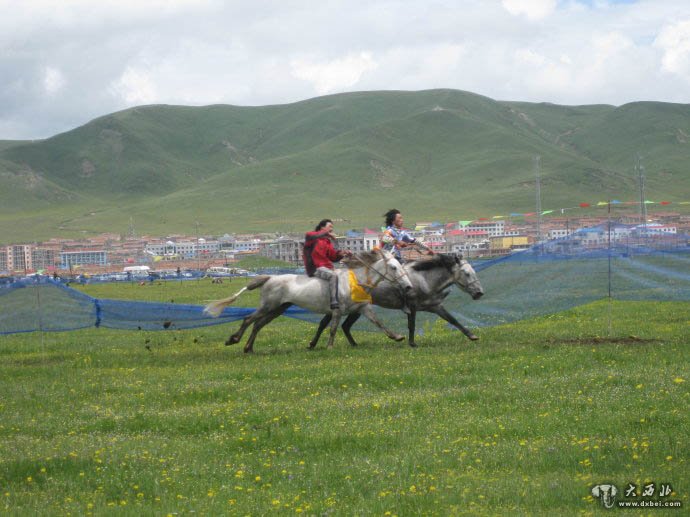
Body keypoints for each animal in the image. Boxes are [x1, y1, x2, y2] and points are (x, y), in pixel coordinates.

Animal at [202, 249, 412, 352]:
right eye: (393, 267)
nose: (408, 286)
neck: (355, 281)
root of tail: (269, 278)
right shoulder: (337, 310)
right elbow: (333, 328)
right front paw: (329, 347)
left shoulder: (363, 308)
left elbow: (379, 322)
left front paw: (397, 337)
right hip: (268, 306)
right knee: (248, 319)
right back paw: (234, 340)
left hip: (278, 309)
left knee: (258, 324)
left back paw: (248, 348)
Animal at [310, 253, 482, 346]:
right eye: (467, 273)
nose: (479, 293)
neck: (424, 279)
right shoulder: (412, 306)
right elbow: (412, 325)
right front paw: (412, 343)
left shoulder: (435, 306)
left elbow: (453, 320)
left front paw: (472, 336)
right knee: (328, 323)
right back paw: (314, 344)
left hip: (356, 309)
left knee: (344, 326)